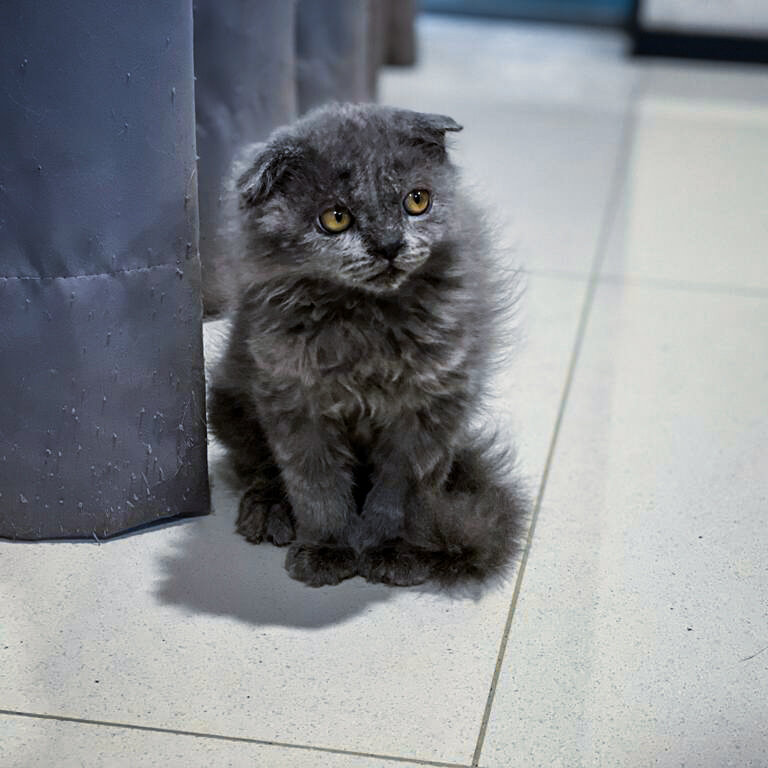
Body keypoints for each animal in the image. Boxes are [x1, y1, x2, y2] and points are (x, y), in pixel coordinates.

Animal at [207, 100, 524, 584]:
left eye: (417, 200)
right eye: (335, 218)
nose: (389, 245)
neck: (366, 321)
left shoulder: (430, 407)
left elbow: (401, 491)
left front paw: (390, 549)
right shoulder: (296, 401)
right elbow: (317, 486)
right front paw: (328, 547)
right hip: (227, 402)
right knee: (257, 467)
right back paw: (268, 509)